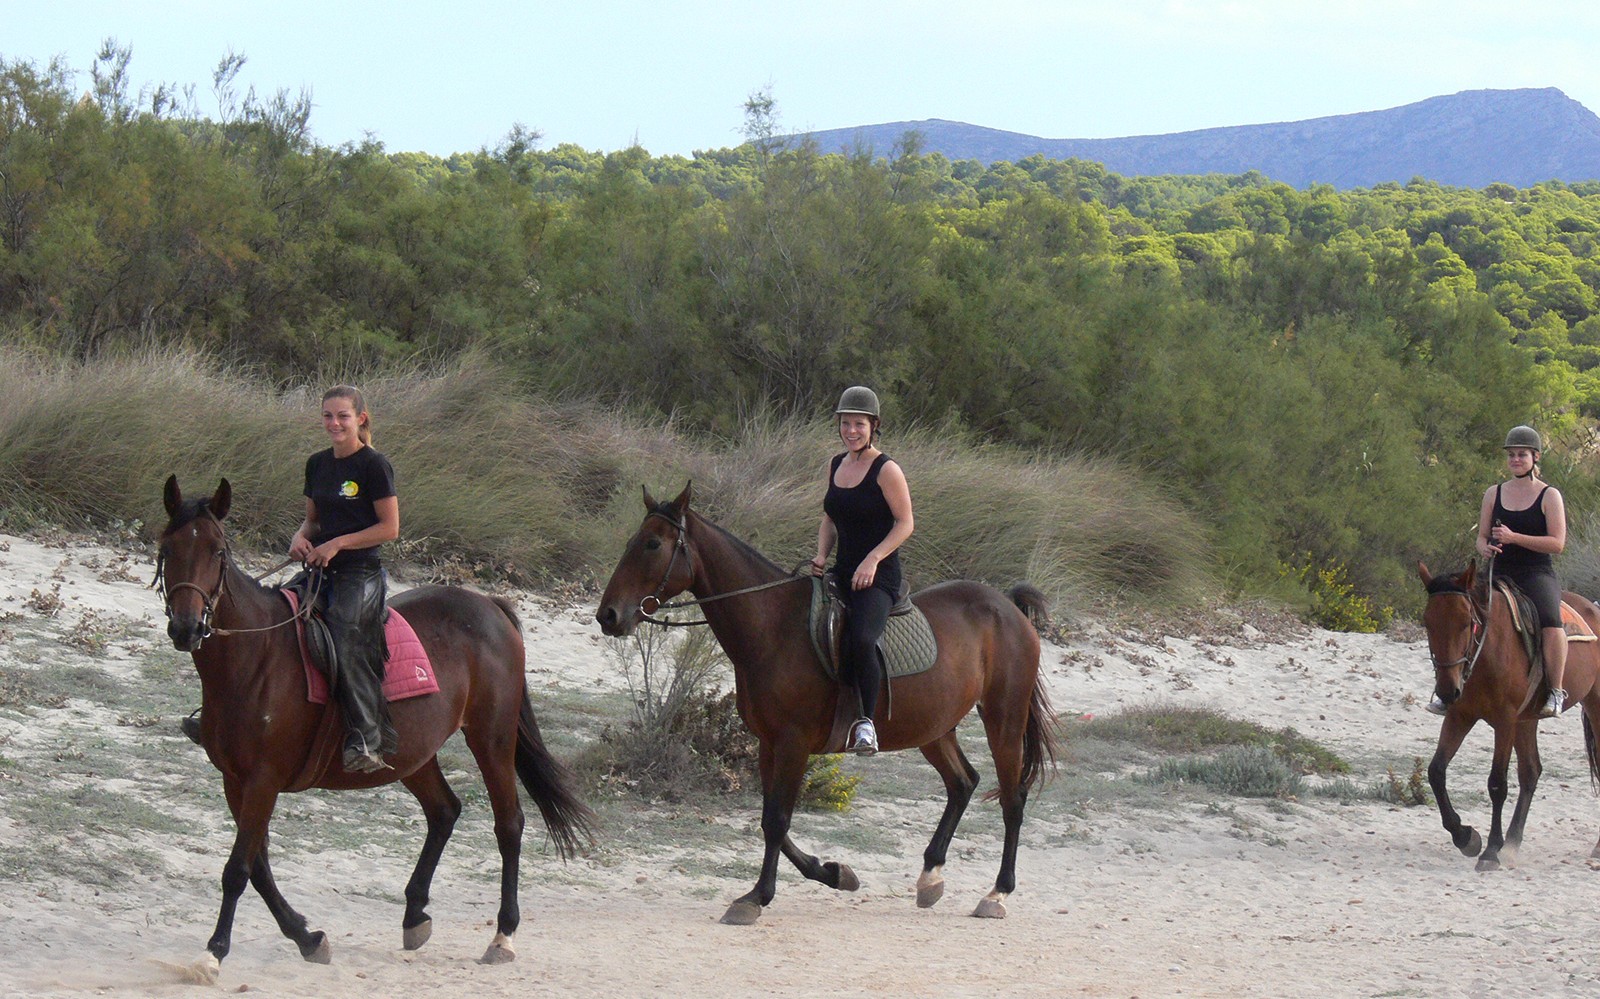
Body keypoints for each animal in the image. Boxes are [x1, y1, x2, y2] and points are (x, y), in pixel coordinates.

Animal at [156, 476, 594, 981]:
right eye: (167, 548)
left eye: (217, 552)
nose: (187, 628)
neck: (256, 657)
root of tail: (490, 605)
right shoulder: (235, 780)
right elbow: (259, 867)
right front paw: (308, 938)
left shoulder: (263, 779)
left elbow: (238, 869)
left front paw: (214, 952)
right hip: (411, 753)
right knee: (444, 811)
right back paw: (415, 916)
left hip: (491, 737)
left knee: (509, 823)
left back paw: (502, 934)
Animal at [595, 484, 1057, 924]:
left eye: (652, 544)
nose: (608, 616)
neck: (774, 627)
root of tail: (1008, 608)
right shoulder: (769, 743)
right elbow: (772, 821)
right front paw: (834, 873)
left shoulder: (793, 743)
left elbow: (776, 821)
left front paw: (756, 898)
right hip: (935, 727)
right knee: (963, 783)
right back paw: (931, 878)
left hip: (1003, 718)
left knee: (1012, 798)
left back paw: (997, 893)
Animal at [1417, 561, 1600, 870]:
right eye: (1428, 622)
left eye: (1466, 622)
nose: (1447, 690)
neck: (1487, 653)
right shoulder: (1460, 715)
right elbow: (1436, 771)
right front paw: (1465, 837)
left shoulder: (1505, 721)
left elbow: (1497, 784)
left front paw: (1490, 850)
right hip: (1527, 720)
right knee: (1530, 772)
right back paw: (1512, 843)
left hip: (1592, 707)